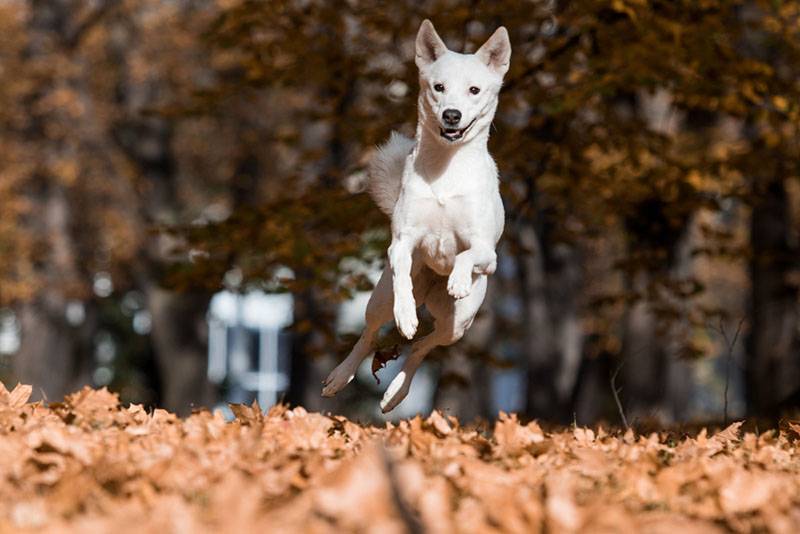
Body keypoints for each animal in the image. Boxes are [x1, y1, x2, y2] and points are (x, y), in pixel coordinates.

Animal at [322, 18, 510, 412]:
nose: (451, 115)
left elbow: (467, 254)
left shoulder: (488, 253)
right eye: (438, 87)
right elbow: (402, 275)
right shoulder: (402, 243)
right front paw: (407, 316)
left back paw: (397, 391)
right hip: (379, 299)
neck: (444, 169)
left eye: (474, 90)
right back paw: (341, 376)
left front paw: (458, 278)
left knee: (424, 347)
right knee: (370, 332)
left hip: (458, 324)